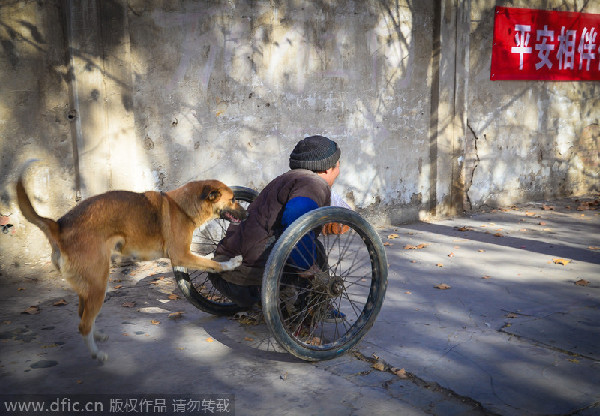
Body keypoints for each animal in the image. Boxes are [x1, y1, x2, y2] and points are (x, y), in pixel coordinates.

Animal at [16, 159, 246, 360]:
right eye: (233, 199)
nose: (246, 213)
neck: (182, 207)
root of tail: (59, 226)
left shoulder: (184, 256)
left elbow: (206, 259)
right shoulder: (180, 255)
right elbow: (212, 264)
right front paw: (231, 263)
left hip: (87, 286)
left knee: (83, 315)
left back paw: (97, 335)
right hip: (98, 283)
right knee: (83, 323)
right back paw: (97, 354)